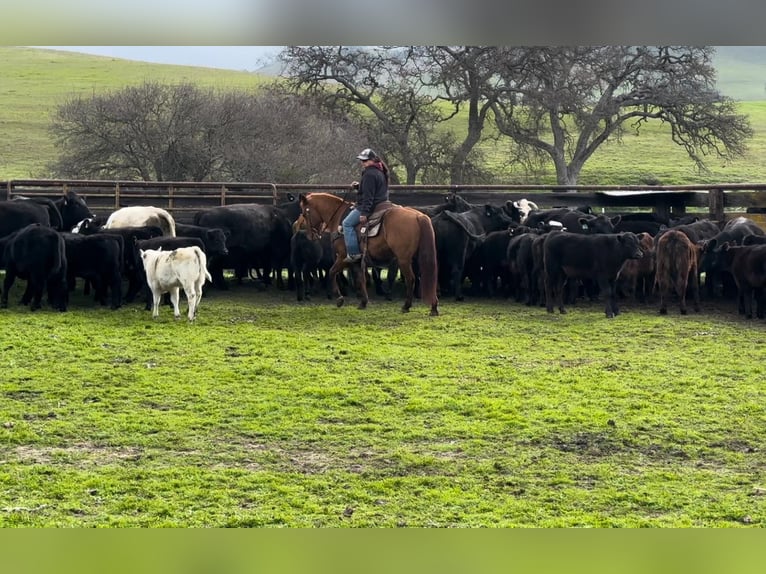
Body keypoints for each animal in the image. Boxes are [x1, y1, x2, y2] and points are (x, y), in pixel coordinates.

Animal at [302, 192, 444, 318]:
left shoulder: (343, 257)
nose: (310, 235)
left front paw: (340, 299)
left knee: (411, 279)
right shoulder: (357, 261)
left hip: (403, 259)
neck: (339, 218)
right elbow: (360, 279)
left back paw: (406, 306)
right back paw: (433, 307)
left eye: (304, 213)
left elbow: (332, 272)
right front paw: (363, 302)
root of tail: (418, 216)